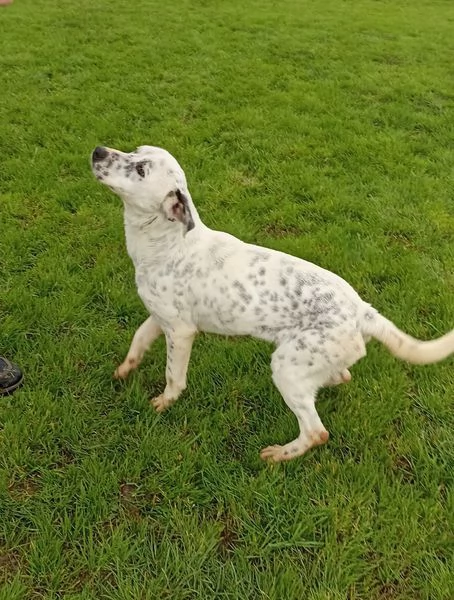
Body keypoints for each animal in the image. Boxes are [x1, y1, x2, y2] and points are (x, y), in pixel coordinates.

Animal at [90, 146, 452, 464]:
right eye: (135, 150)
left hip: (286, 368)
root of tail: (363, 311)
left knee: (317, 431)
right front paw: (124, 370)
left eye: (141, 169)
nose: (98, 150)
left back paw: (279, 455)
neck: (165, 242)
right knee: (342, 376)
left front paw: (164, 402)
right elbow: (137, 341)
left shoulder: (180, 332)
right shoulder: (159, 318)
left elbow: (173, 377)